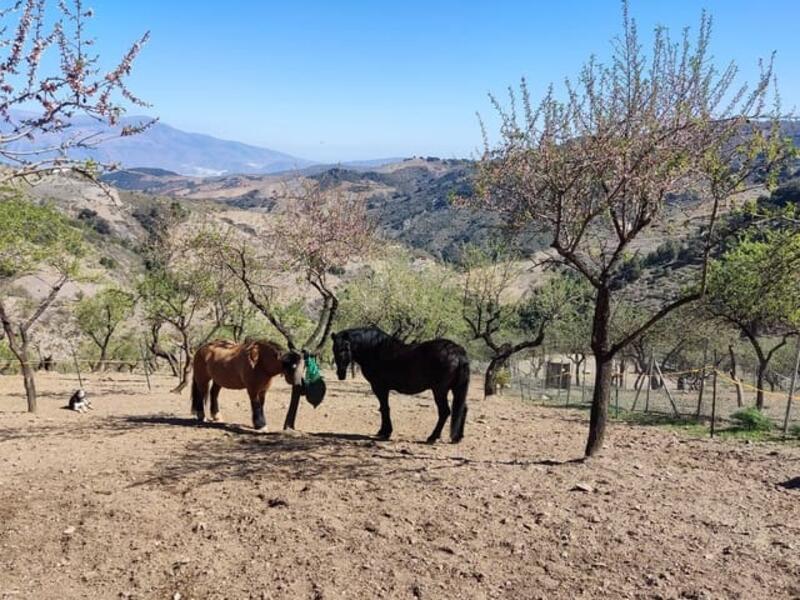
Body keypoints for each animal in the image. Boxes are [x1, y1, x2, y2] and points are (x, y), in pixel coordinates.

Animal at [332, 326, 468, 442]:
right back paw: (457, 437)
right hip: (457, 389)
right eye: (334, 349)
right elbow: (383, 408)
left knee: (445, 412)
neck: (375, 349)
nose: (340, 374)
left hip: (440, 390)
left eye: (345, 348)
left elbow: (384, 408)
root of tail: (457, 351)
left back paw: (433, 437)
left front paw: (385, 432)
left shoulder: (379, 387)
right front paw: (383, 431)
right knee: (463, 409)